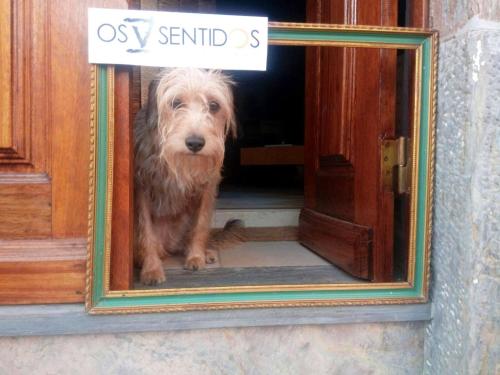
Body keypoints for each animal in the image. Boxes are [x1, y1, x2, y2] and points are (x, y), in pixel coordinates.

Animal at [133, 68, 242, 284]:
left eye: (214, 105)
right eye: (176, 103)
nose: (195, 143)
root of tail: (168, 246)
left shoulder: (207, 186)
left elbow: (200, 225)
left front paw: (196, 256)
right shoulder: (142, 186)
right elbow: (146, 231)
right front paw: (151, 268)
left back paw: (204, 252)